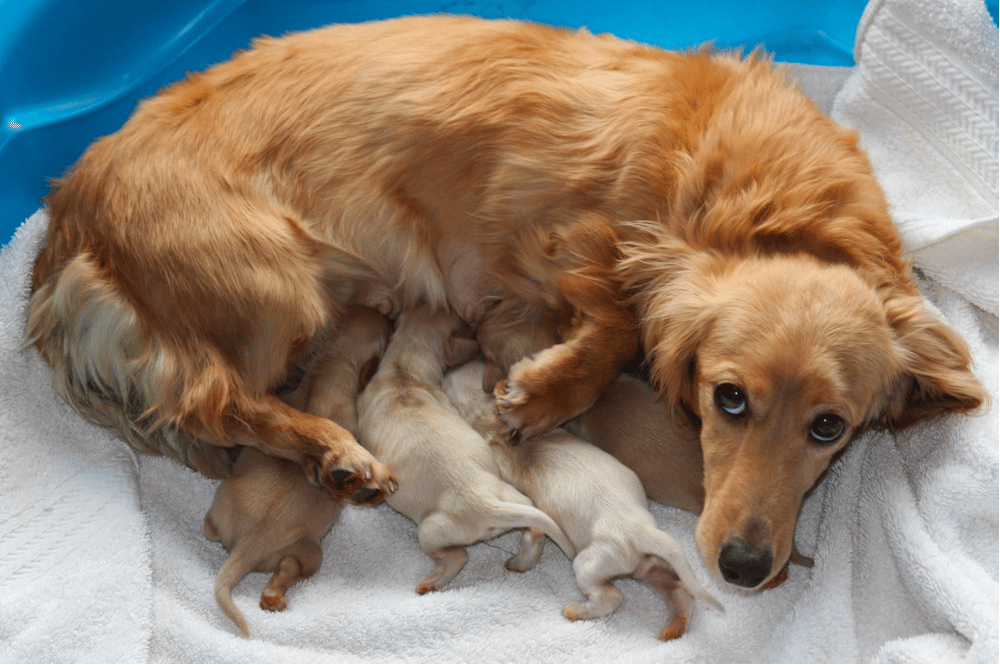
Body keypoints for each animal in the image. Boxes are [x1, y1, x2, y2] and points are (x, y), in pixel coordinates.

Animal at [203, 306, 390, 632]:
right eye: (388, 332)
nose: (389, 315)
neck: (329, 364)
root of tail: (246, 547)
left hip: (225, 499)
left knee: (211, 526)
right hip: (311, 553)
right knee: (290, 569)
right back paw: (273, 596)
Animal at [358, 302, 580, 592]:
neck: (403, 369)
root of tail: (486, 505)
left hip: (429, 530)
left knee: (457, 556)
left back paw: (430, 583)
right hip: (518, 499)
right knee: (535, 530)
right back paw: (519, 563)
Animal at [444, 360, 720, 640]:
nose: (449, 367)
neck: (488, 415)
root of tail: (643, 532)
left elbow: (532, 535)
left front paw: (518, 563)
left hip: (590, 563)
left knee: (611, 596)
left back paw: (575, 611)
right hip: (648, 565)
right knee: (678, 588)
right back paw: (673, 627)